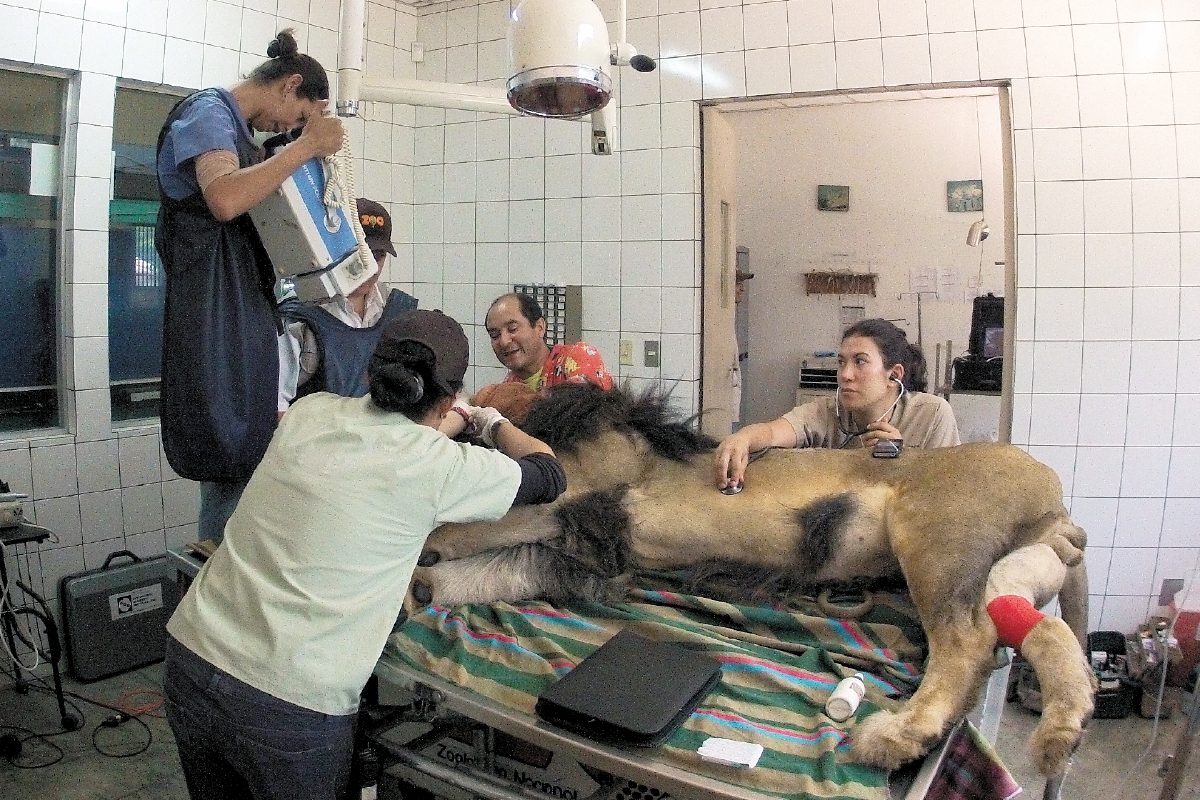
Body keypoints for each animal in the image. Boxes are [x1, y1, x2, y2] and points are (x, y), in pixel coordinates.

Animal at [412, 383, 1099, 786]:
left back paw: (896, 737)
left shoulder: (568, 494)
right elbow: (470, 561)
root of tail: (1058, 500)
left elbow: (462, 526)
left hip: (935, 537)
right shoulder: (577, 542)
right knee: (1037, 628)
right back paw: (1060, 735)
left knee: (967, 643)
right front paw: (418, 585)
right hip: (1015, 564)